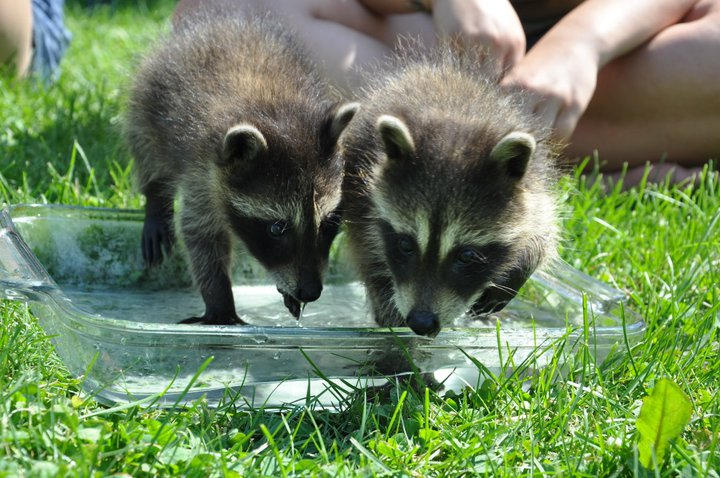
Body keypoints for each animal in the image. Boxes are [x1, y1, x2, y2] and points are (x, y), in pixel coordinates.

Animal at [126, 10, 358, 324]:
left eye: (329, 221)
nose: (311, 292)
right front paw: (219, 302)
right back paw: (155, 199)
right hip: (148, 95)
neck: (275, 106)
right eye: (277, 228)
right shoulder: (203, 171)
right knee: (146, 146)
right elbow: (200, 235)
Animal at [341, 44, 559, 337]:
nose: (421, 322)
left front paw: (523, 264)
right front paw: (388, 309)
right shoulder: (361, 191)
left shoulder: (532, 182)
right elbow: (367, 253)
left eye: (467, 255)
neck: (456, 123)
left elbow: (543, 225)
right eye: (406, 244)